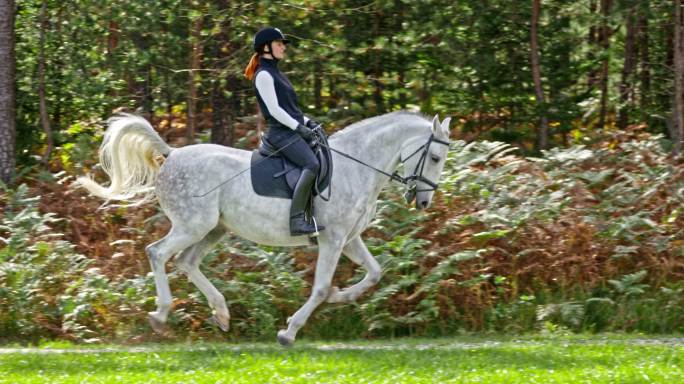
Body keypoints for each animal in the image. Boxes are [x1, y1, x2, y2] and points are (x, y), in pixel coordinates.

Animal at [77, 110, 452, 344]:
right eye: (434, 158)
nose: (423, 202)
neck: (356, 166)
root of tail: (172, 154)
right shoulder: (332, 240)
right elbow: (319, 288)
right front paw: (289, 332)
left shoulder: (349, 239)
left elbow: (375, 273)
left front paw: (340, 297)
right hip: (192, 225)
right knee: (157, 253)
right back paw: (161, 315)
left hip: (213, 230)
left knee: (186, 261)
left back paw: (221, 314)